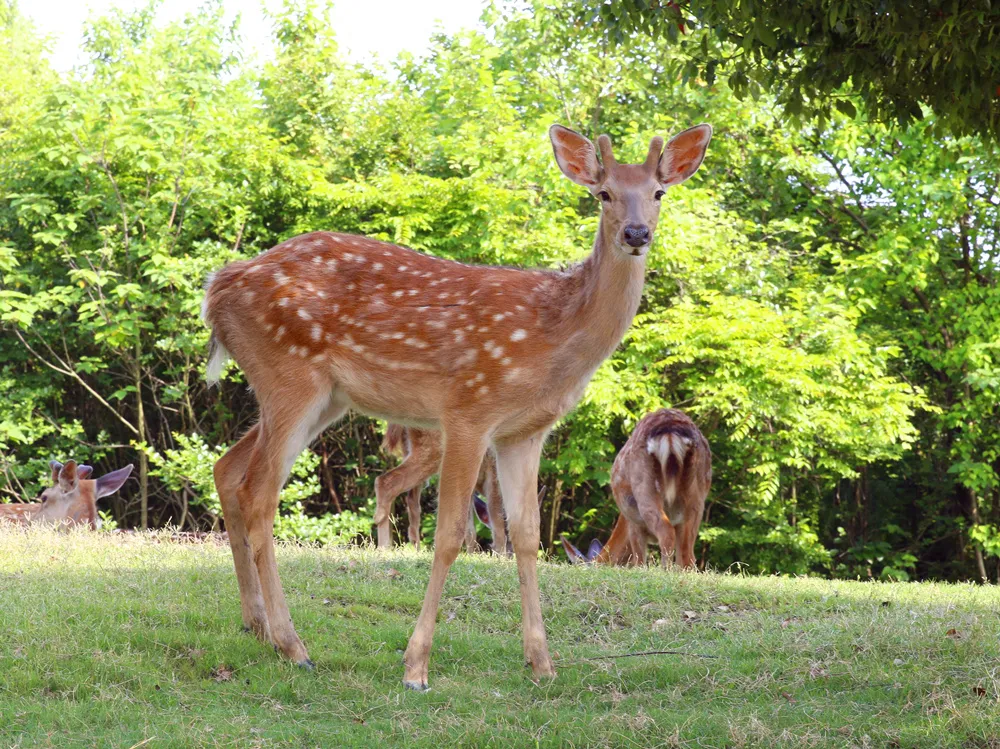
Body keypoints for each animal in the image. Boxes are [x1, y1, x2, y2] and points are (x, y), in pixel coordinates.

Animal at [374, 424, 508, 552]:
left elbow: (470, 529)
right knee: (385, 482)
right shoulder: (493, 474)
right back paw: (384, 548)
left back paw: (416, 550)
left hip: (410, 450)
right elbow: (498, 523)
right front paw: (500, 556)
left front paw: (472, 555)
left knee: (412, 503)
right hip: (433, 449)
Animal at [564, 410, 712, 568]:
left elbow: (639, 560)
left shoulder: (633, 523)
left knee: (665, 531)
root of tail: (670, 430)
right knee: (688, 554)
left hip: (644, 489)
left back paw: (664, 570)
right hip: (696, 497)